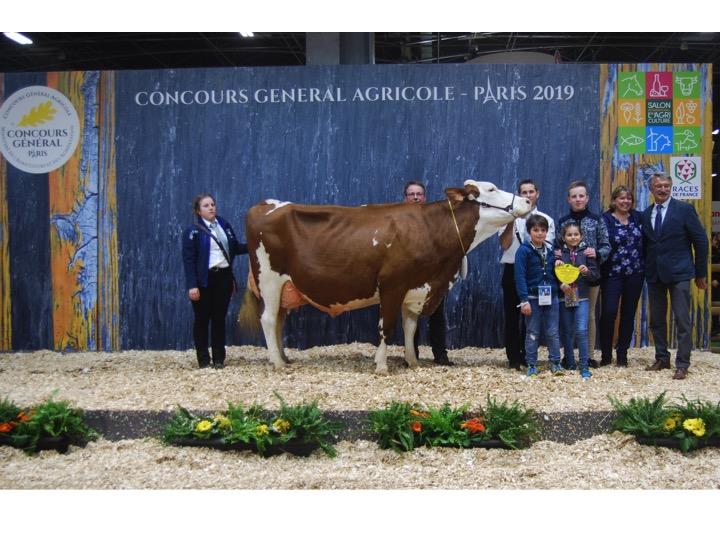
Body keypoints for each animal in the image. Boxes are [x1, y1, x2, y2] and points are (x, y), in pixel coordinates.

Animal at [239, 179, 532, 374]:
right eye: (491, 189)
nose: (528, 200)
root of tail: (265, 204)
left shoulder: (418, 287)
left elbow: (410, 327)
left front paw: (412, 361)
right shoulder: (393, 284)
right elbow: (387, 327)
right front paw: (381, 366)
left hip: (285, 287)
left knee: (279, 320)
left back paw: (284, 357)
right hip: (269, 279)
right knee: (268, 319)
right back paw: (277, 363)